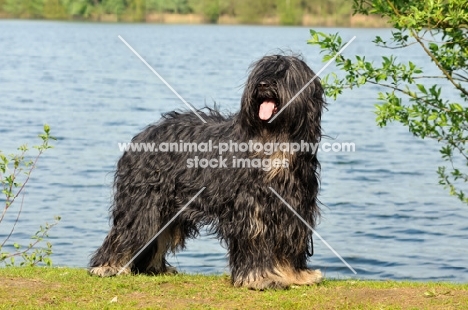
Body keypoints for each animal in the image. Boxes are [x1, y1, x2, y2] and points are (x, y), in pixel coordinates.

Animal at [90, 54, 326, 290]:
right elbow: (254, 240)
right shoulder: (251, 206)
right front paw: (260, 278)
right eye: (261, 73)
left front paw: (295, 275)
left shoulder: (294, 206)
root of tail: (145, 134)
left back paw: (154, 268)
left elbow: (288, 242)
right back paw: (106, 266)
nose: (263, 85)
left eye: (284, 74)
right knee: (128, 231)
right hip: (144, 200)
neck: (274, 140)